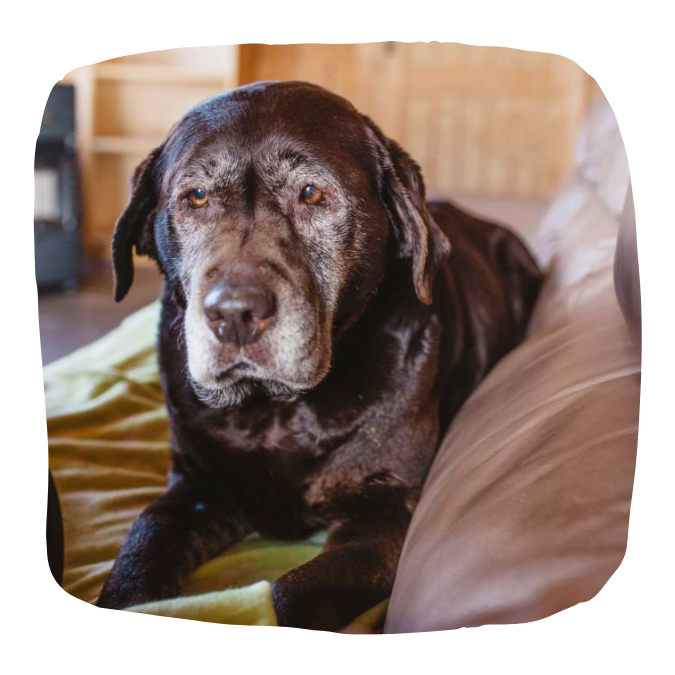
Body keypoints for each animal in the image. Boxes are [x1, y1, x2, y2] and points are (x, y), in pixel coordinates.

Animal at [96, 81, 543, 631]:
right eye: (197, 196)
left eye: (311, 193)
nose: (234, 312)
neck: (273, 412)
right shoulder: (196, 488)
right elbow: (144, 539)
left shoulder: (382, 514)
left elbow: (288, 594)